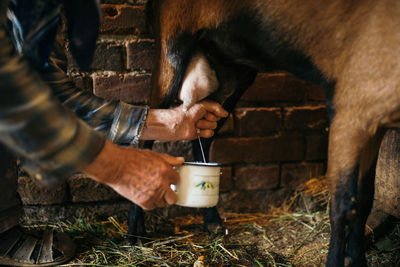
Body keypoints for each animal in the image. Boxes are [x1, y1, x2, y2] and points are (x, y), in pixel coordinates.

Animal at [139, 0, 400, 267]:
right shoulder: (349, 109)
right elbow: (344, 206)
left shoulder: (374, 121)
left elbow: (365, 199)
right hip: (171, 48)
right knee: (148, 130)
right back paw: (135, 234)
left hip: (233, 71)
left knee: (203, 134)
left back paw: (212, 222)